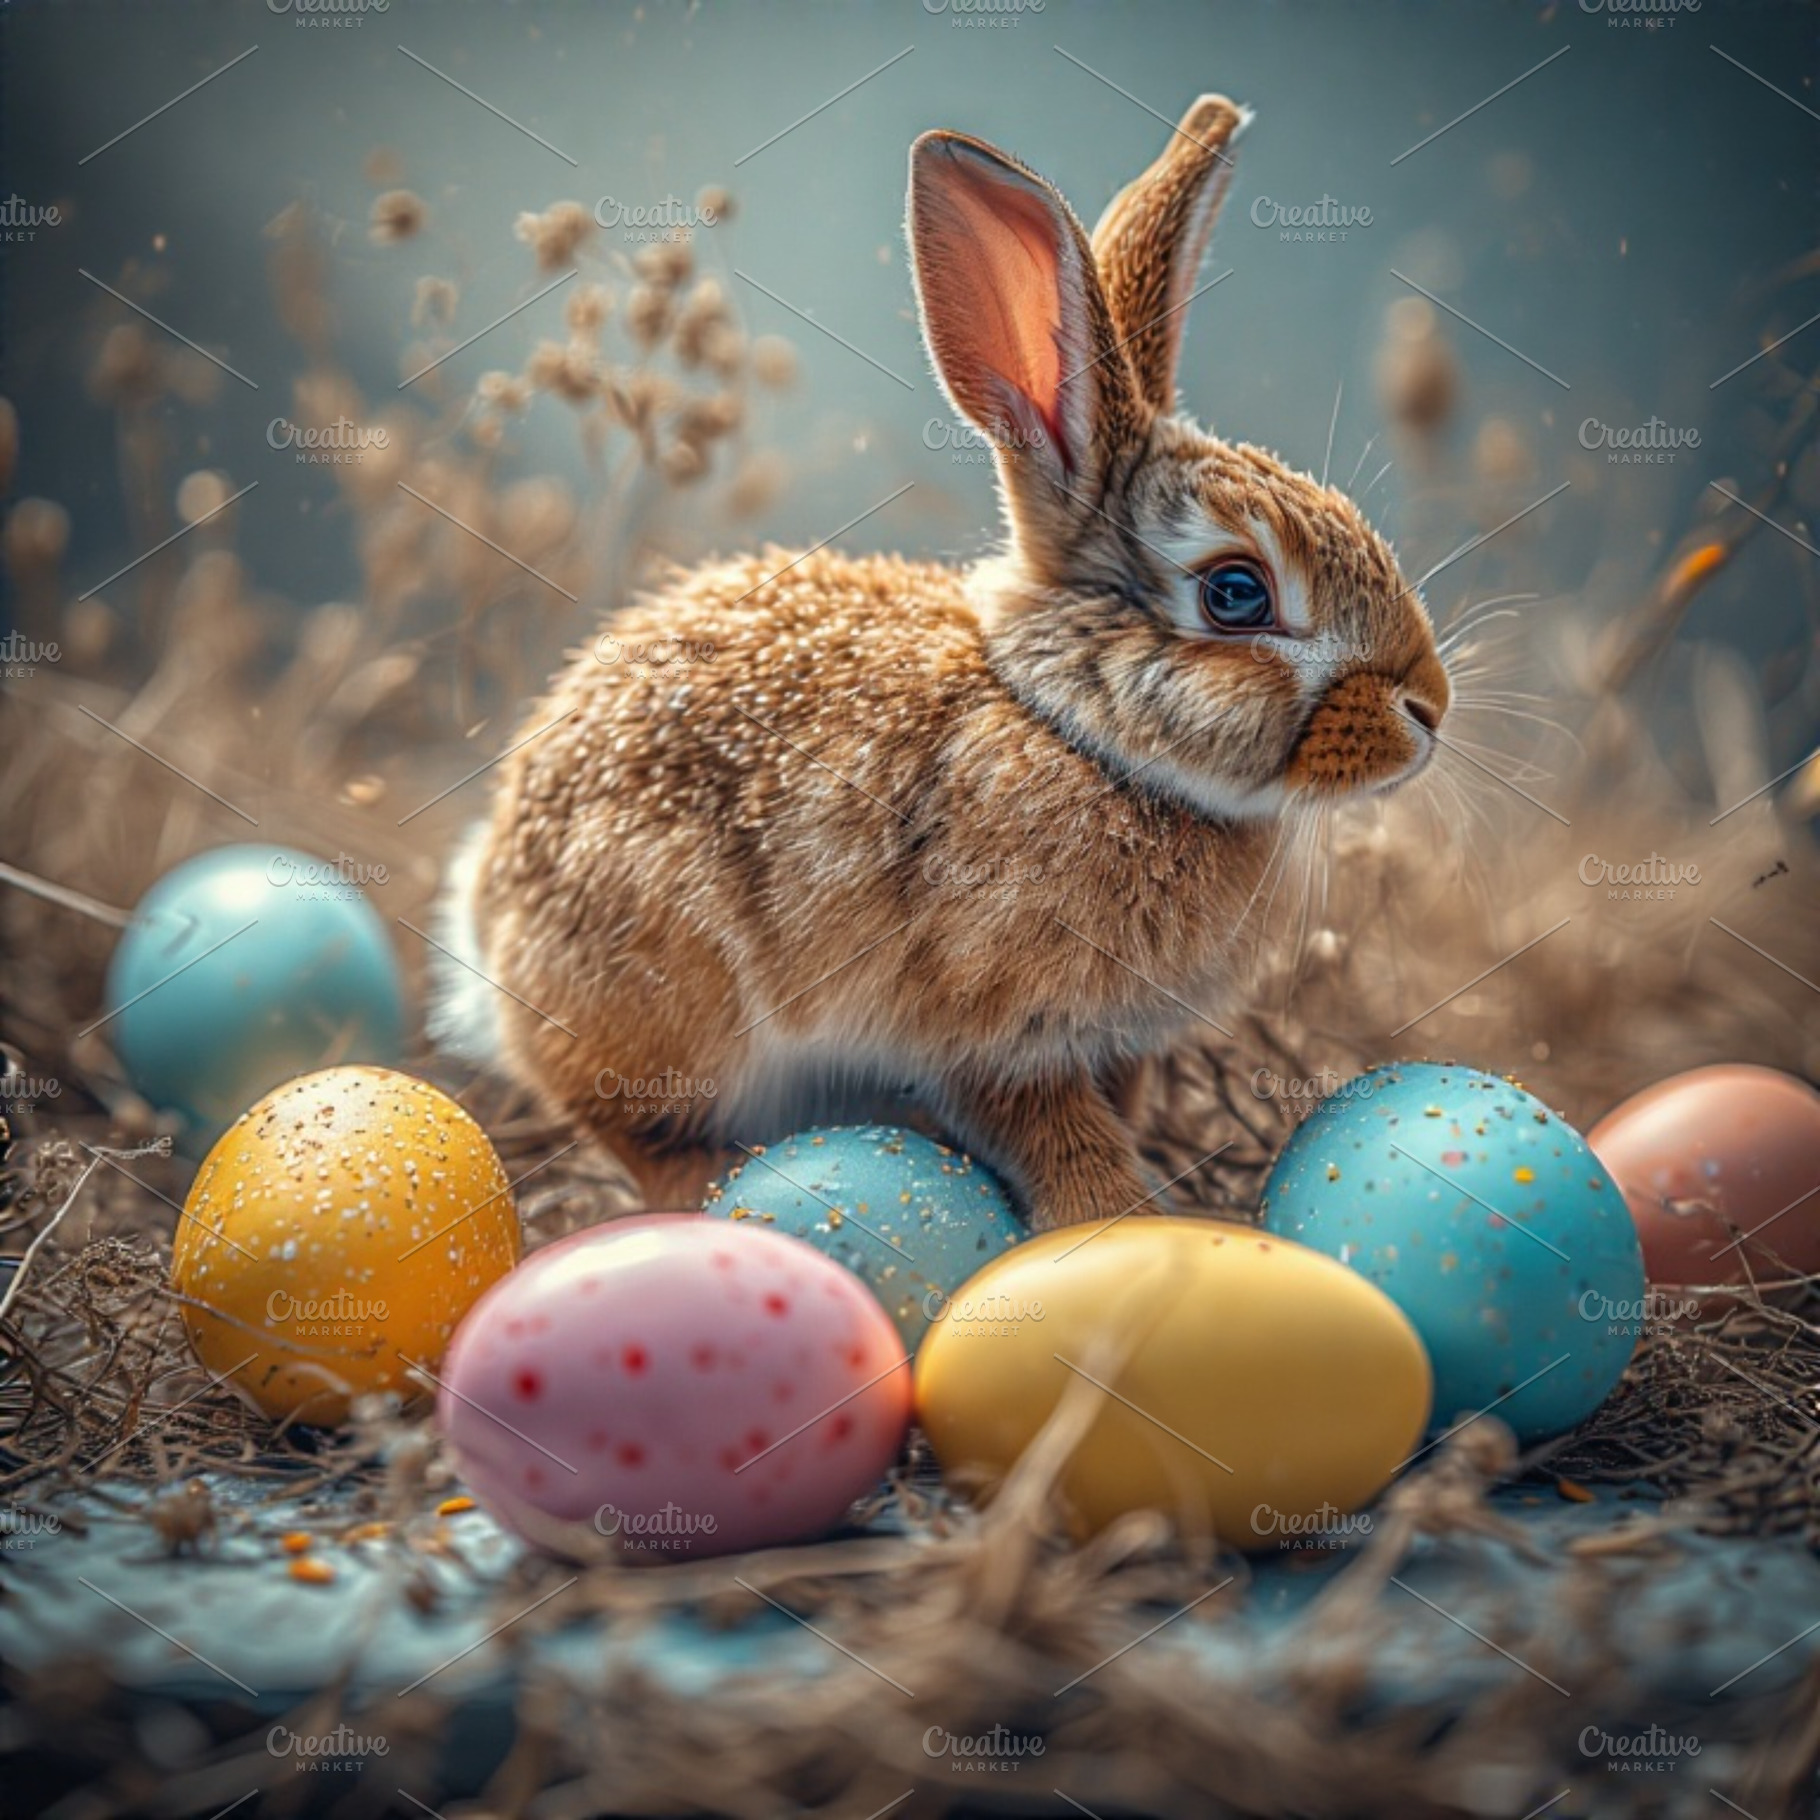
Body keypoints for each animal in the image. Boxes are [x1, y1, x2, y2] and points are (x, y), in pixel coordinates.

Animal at [432, 93, 1451, 1229]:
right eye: (1237, 594)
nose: (1429, 707)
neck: (1074, 733)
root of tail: (489, 915)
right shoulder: (991, 1033)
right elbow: (1059, 1140)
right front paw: (1123, 1222)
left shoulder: (1120, 1043)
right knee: (624, 1120)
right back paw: (709, 1185)